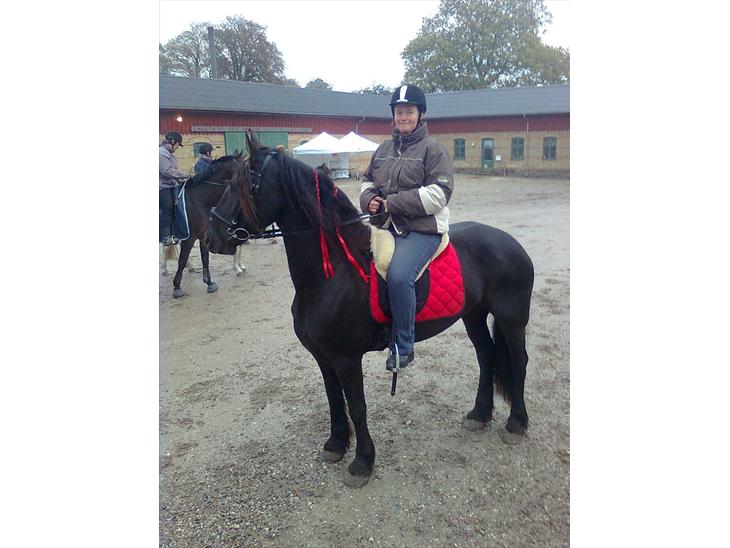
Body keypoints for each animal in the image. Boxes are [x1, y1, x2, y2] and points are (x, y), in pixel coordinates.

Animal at [168, 152, 245, 298]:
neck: (198, 200)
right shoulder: (190, 238)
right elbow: (182, 260)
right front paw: (177, 287)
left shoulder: (204, 236)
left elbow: (205, 258)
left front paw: (209, 283)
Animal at [205, 130, 534, 488]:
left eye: (241, 184)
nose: (211, 236)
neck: (335, 272)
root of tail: (511, 243)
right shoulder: (323, 357)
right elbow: (334, 399)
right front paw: (336, 445)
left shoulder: (347, 358)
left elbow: (357, 405)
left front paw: (362, 461)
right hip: (473, 315)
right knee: (486, 355)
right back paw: (479, 414)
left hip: (512, 319)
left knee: (518, 361)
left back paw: (516, 423)